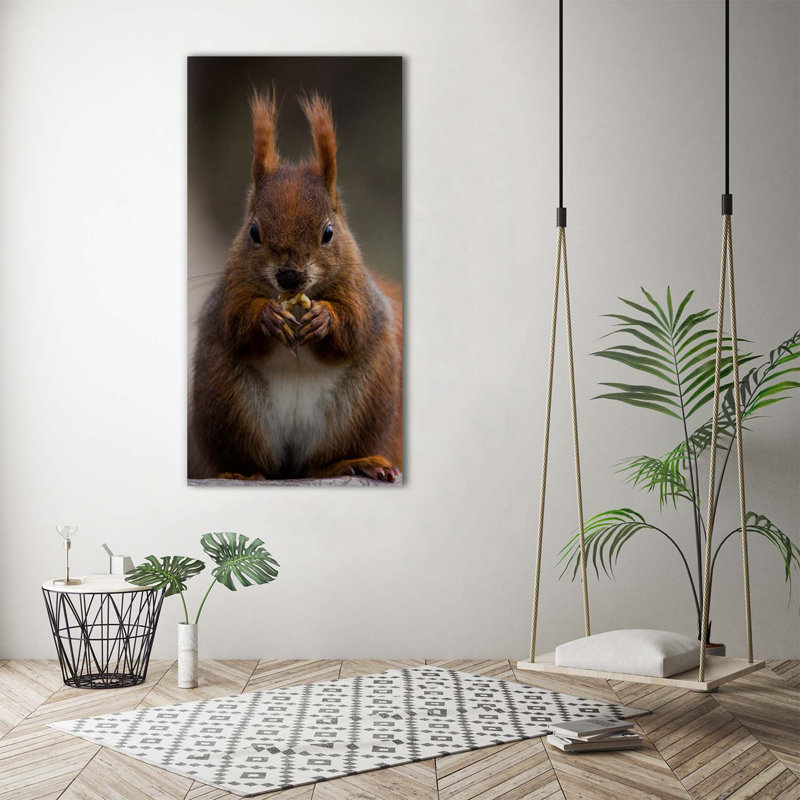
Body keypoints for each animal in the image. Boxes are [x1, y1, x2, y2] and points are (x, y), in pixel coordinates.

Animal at [188, 91, 402, 483]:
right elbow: (235, 323)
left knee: (317, 463)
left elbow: (355, 325)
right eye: (253, 232)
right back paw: (240, 474)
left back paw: (352, 462)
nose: (289, 276)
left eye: (328, 232)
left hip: (363, 402)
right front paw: (267, 317)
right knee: (256, 462)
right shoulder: (230, 289)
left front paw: (325, 318)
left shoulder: (359, 291)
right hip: (229, 402)